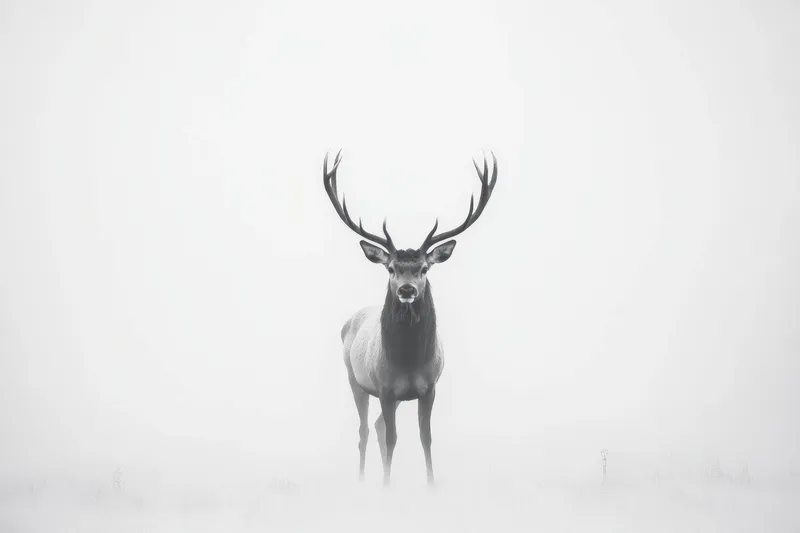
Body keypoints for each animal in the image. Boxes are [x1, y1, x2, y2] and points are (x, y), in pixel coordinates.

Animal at [323, 150, 498, 486]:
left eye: (424, 269)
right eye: (391, 268)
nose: (406, 289)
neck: (408, 361)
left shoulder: (429, 387)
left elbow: (425, 438)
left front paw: (430, 486)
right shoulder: (385, 388)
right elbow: (392, 439)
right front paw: (387, 487)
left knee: (377, 426)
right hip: (355, 379)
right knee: (365, 431)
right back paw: (362, 481)